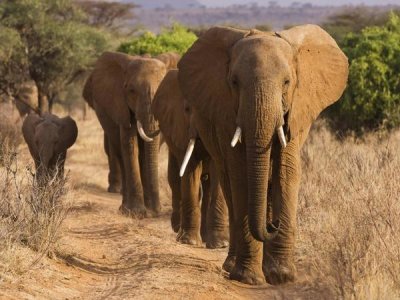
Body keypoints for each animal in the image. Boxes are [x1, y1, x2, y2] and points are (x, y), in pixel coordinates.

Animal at [82, 51, 179, 216]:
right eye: (132, 91)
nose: (157, 211)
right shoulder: (121, 105)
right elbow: (130, 145)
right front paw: (137, 213)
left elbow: (148, 150)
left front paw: (150, 211)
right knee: (120, 153)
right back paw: (124, 208)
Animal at [152, 69, 228, 248]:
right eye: (187, 109)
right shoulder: (179, 127)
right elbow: (190, 170)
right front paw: (189, 241)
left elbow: (216, 173)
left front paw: (220, 244)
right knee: (174, 177)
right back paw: (178, 228)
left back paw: (205, 237)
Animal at [177, 24, 348, 284]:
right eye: (234, 82)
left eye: (287, 82)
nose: (274, 224)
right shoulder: (227, 114)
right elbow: (241, 175)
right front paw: (249, 278)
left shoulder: (296, 110)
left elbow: (286, 173)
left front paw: (281, 276)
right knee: (229, 187)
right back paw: (232, 266)